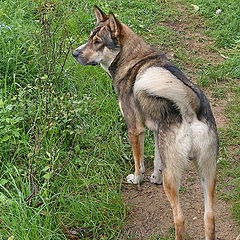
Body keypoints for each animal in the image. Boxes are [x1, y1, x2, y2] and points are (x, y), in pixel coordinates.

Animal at [72, 6, 218, 240]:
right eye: (89, 38)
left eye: (97, 42)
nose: (75, 53)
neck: (132, 58)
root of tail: (190, 107)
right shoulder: (158, 133)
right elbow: (157, 159)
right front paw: (154, 178)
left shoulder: (135, 130)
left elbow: (138, 161)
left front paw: (137, 179)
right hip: (208, 172)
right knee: (210, 217)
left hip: (175, 180)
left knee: (180, 219)